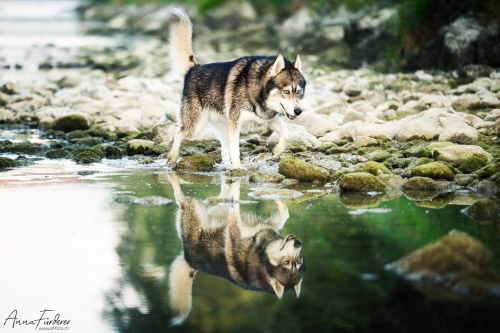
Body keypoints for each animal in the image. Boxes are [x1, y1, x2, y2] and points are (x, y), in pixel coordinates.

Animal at [166, 8, 304, 167]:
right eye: (286, 91)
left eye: (298, 92)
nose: (298, 111)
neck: (257, 93)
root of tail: (193, 68)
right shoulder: (235, 123)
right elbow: (235, 152)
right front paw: (239, 169)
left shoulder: (269, 118)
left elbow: (286, 133)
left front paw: (276, 151)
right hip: (195, 126)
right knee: (179, 133)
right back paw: (172, 158)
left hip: (223, 126)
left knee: (224, 151)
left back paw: (226, 167)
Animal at [168, 174, 304, 324]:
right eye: (288, 262)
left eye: (297, 262)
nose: (298, 244)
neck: (261, 254)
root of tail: (189, 261)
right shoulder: (264, 226)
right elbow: (285, 212)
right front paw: (277, 197)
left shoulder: (239, 227)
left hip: (192, 209)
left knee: (180, 198)